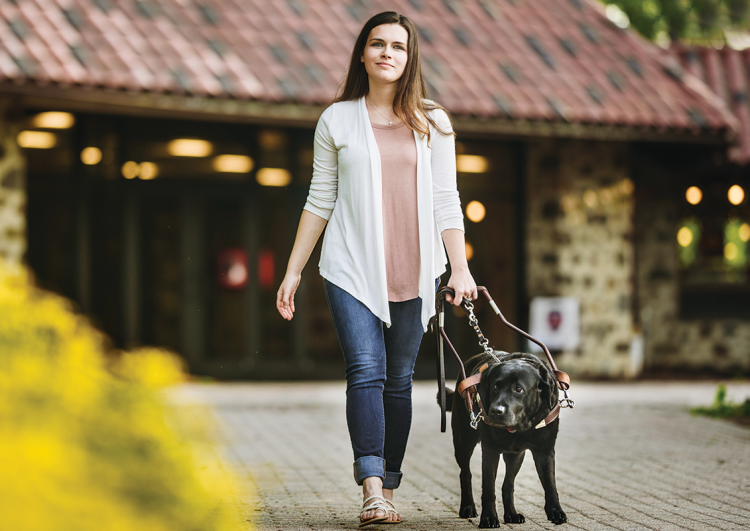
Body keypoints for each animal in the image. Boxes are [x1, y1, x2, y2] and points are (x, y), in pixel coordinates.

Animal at [444, 354, 568, 528]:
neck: (520, 427)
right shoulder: (490, 450)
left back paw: (512, 514)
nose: (496, 411)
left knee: (508, 484)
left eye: (519, 389)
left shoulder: (545, 450)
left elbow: (550, 484)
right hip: (463, 442)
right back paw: (467, 507)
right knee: (465, 473)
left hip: (516, 455)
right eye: (495, 387)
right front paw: (488, 518)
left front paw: (555, 511)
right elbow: (489, 488)